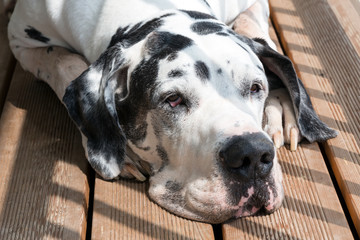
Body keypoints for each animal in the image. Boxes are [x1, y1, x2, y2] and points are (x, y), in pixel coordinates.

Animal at [6, 0, 338, 223]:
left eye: (256, 87)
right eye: (173, 99)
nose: (253, 155)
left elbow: (255, 30)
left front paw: (279, 104)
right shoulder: (19, 39)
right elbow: (64, 63)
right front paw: (119, 151)